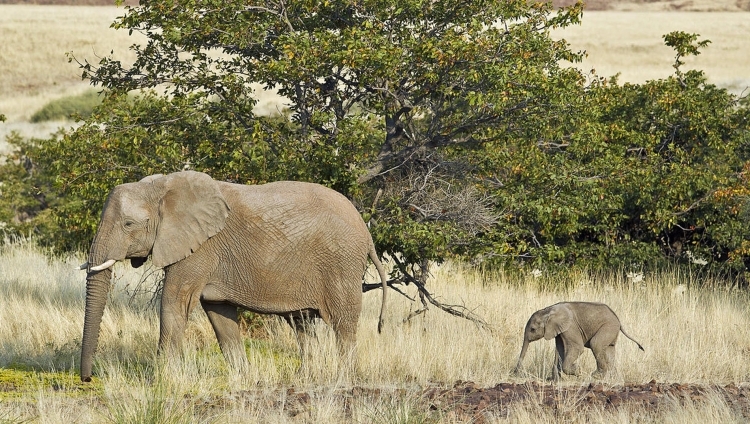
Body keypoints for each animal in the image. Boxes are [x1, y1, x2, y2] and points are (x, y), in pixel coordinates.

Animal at [80, 171, 390, 382]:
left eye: (128, 224)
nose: (87, 378)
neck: (162, 187)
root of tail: (367, 231)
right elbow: (219, 314)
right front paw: (243, 377)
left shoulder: (199, 249)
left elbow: (174, 303)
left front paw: (162, 380)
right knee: (302, 324)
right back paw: (307, 377)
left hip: (341, 264)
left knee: (343, 324)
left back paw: (345, 378)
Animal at [516, 300, 648, 380]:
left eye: (532, 329)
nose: (515, 372)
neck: (548, 310)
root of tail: (618, 319)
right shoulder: (559, 330)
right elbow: (559, 350)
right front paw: (554, 380)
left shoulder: (571, 326)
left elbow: (577, 348)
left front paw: (578, 371)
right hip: (611, 330)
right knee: (610, 351)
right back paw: (612, 379)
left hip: (608, 326)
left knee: (596, 344)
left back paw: (596, 376)